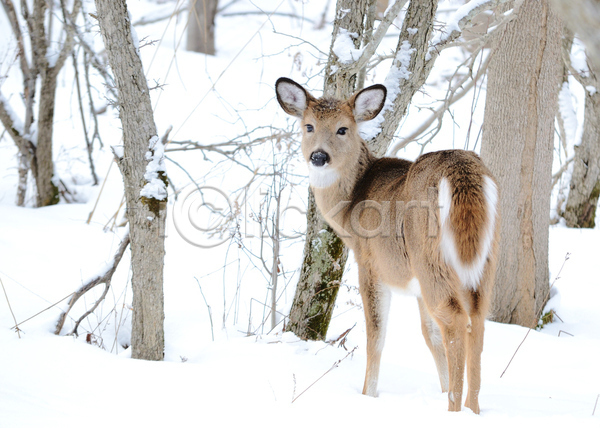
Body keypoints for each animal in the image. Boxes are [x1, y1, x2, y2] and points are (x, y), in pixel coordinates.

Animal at [276, 77, 502, 414]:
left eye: (343, 129)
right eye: (308, 126)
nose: (318, 156)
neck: (350, 206)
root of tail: (462, 173)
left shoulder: (371, 264)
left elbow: (376, 334)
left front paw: (368, 395)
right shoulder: (416, 285)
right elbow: (430, 335)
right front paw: (442, 387)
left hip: (430, 256)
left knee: (454, 318)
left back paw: (454, 409)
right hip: (486, 258)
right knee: (477, 317)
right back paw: (472, 409)